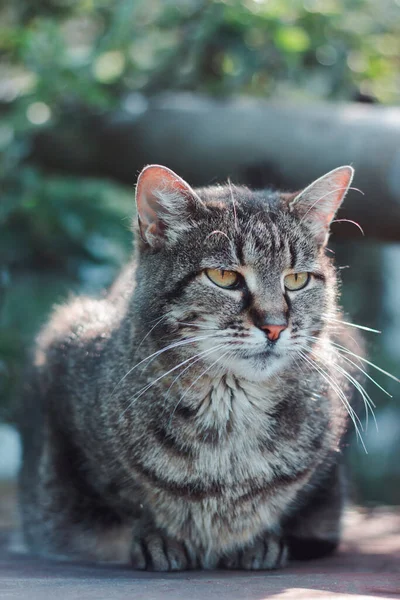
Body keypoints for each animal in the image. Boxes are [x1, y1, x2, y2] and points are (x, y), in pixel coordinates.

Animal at [18, 163, 362, 572]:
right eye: (225, 277)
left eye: (296, 279)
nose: (275, 326)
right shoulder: (61, 353)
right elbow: (118, 502)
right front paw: (156, 537)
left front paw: (257, 540)